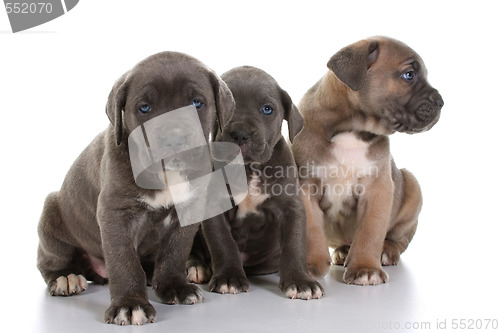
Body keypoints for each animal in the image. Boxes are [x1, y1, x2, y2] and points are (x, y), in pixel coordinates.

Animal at [37, 52, 236, 324]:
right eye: (144, 108)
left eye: (197, 103)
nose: (173, 139)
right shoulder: (116, 213)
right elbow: (124, 261)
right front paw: (130, 305)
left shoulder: (189, 209)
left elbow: (175, 252)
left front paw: (175, 286)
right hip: (51, 213)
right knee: (50, 260)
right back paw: (65, 277)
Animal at [188, 66, 324, 300]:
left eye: (267, 109)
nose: (241, 134)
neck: (248, 169)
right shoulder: (214, 208)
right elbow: (223, 243)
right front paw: (229, 278)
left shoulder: (291, 208)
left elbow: (294, 244)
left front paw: (300, 281)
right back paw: (196, 267)